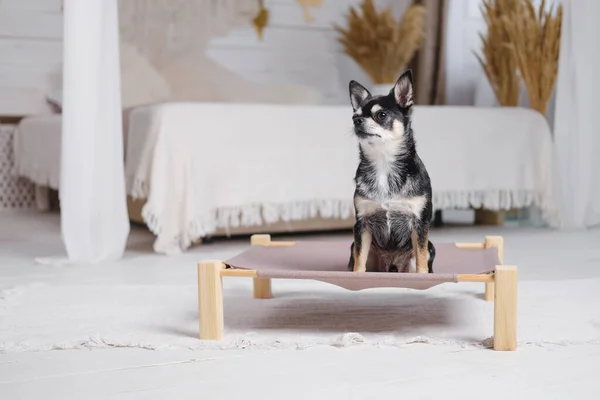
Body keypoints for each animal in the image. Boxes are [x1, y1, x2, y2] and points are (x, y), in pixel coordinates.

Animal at [346, 69, 436, 276]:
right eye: (355, 116)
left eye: (381, 115)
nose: (357, 121)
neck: (383, 163)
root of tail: (392, 265)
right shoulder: (362, 224)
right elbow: (359, 261)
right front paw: (356, 276)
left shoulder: (419, 224)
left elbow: (421, 261)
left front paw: (422, 276)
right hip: (356, 247)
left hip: (429, 248)